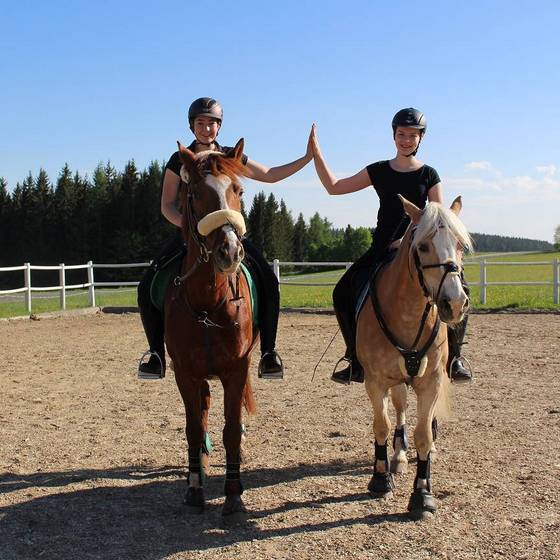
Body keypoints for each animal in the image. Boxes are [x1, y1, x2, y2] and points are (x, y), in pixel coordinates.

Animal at [356, 195, 470, 520]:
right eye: (423, 247)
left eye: (460, 244)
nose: (454, 303)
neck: (407, 312)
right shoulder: (376, 381)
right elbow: (381, 425)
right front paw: (381, 478)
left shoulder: (431, 382)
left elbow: (424, 436)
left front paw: (422, 495)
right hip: (396, 381)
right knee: (399, 409)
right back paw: (398, 457)